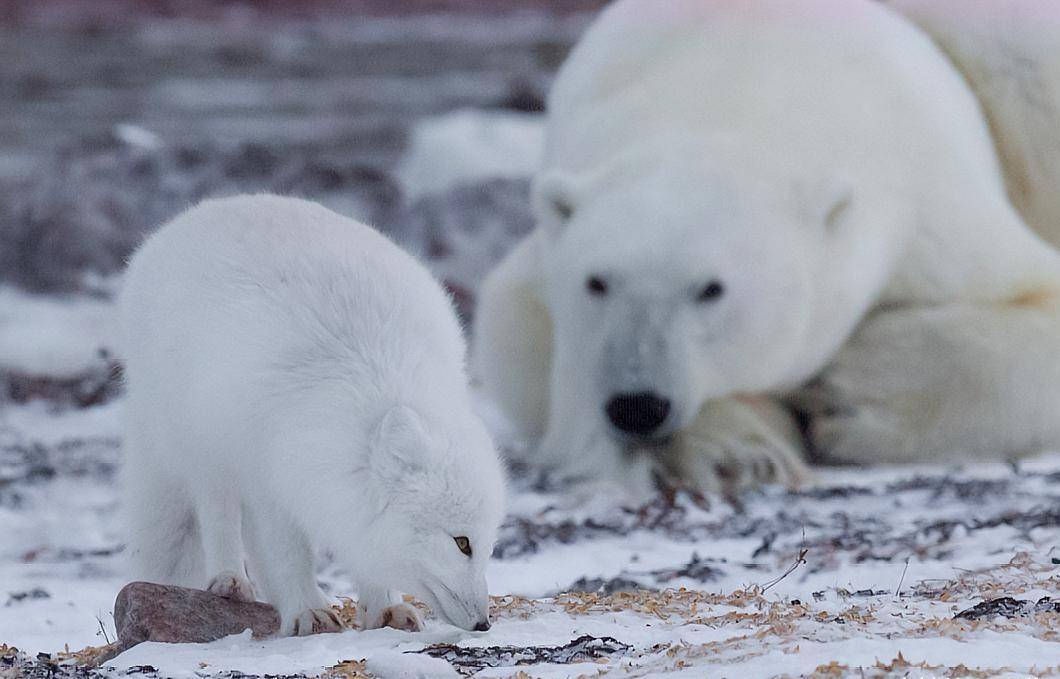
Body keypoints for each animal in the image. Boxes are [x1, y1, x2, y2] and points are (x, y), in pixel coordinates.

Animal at [118, 192, 506, 631]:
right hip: (201, 444)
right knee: (218, 513)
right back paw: (231, 581)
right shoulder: (269, 480)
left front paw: (383, 609)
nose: (483, 623)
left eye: (489, 546)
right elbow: (288, 555)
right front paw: (308, 612)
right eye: (462, 543)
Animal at [472, 0, 1060, 491]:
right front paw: (734, 450)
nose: (637, 405)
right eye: (596, 283)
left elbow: (1033, 301)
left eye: (711, 289)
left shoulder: (932, 210)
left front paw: (848, 396)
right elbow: (542, 356)